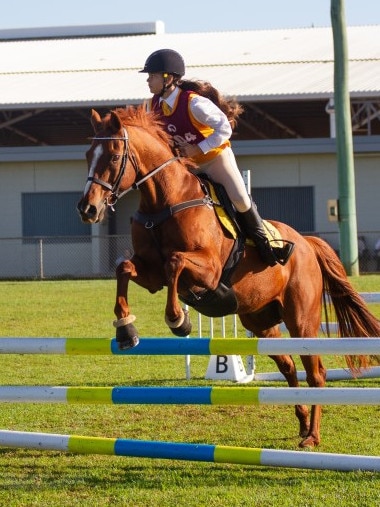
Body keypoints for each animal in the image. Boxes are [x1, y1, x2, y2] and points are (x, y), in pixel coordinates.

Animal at [77, 107, 380, 448]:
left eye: (114, 156)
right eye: (88, 154)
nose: (87, 209)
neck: (164, 202)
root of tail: (305, 243)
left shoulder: (207, 270)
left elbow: (175, 263)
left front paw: (179, 320)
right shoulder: (151, 274)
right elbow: (124, 269)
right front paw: (126, 329)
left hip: (301, 321)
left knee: (316, 372)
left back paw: (312, 437)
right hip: (261, 323)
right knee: (289, 366)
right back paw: (302, 424)